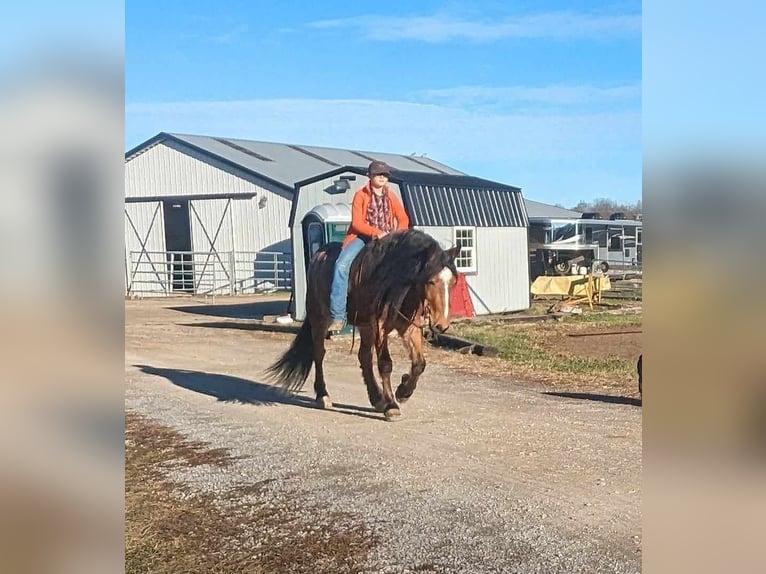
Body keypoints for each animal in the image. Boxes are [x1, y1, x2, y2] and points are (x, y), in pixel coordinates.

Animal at [268, 230, 462, 424]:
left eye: (453, 282)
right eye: (430, 281)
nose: (442, 324)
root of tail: (318, 256)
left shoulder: (409, 328)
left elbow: (419, 364)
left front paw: (403, 391)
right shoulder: (379, 326)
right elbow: (385, 364)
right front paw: (392, 406)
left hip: (365, 327)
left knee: (364, 357)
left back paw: (377, 398)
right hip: (319, 320)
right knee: (319, 354)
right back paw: (323, 395)